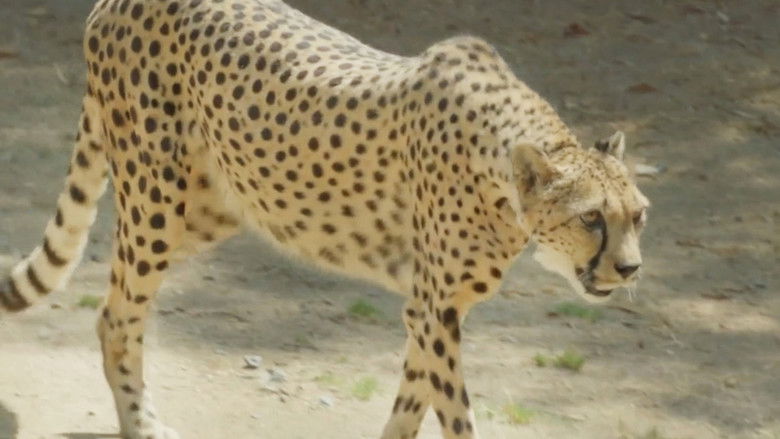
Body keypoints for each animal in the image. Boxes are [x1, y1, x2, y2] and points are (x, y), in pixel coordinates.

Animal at [0, 0, 649, 438]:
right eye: (592, 218)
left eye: (638, 216)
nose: (630, 269)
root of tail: (113, 3)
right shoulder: (434, 305)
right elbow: (454, 411)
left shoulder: (433, 307)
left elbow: (413, 398)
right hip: (154, 201)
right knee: (119, 315)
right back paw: (142, 423)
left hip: (209, 209)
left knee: (109, 301)